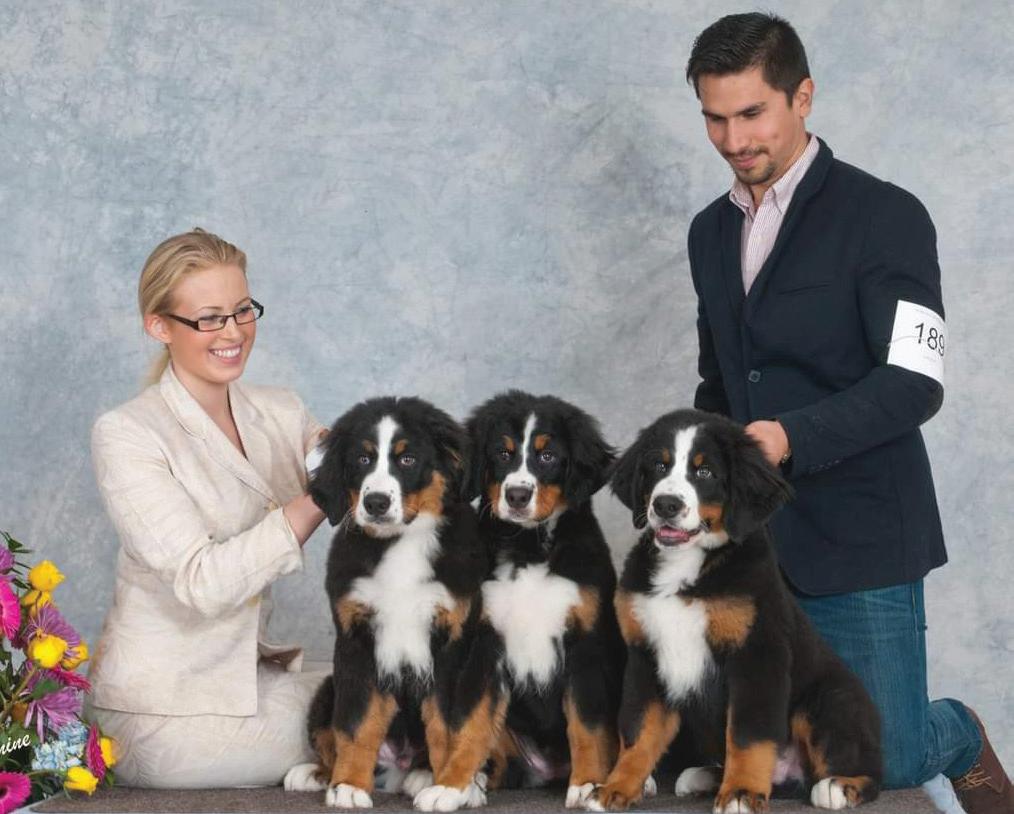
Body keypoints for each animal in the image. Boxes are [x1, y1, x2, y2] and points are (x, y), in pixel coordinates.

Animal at [282, 396, 502, 812]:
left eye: (407, 459)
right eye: (363, 459)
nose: (376, 502)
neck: (401, 543)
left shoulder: (452, 644)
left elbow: (448, 724)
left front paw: (447, 788)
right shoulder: (355, 638)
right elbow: (355, 722)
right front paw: (349, 785)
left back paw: (441, 779)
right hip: (326, 688)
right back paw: (318, 773)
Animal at [465, 390, 627, 809]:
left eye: (548, 456)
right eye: (502, 453)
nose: (518, 495)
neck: (529, 546)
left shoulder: (585, 642)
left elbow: (587, 725)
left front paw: (587, 783)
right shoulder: (485, 640)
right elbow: (473, 719)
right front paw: (454, 784)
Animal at [587, 409, 882, 812]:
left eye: (705, 472)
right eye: (659, 466)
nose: (665, 505)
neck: (687, 567)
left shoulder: (756, 655)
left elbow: (748, 735)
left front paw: (741, 791)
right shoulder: (646, 657)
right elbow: (637, 731)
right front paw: (616, 787)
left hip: (830, 699)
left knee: (868, 771)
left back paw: (840, 785)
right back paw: (703, 776)